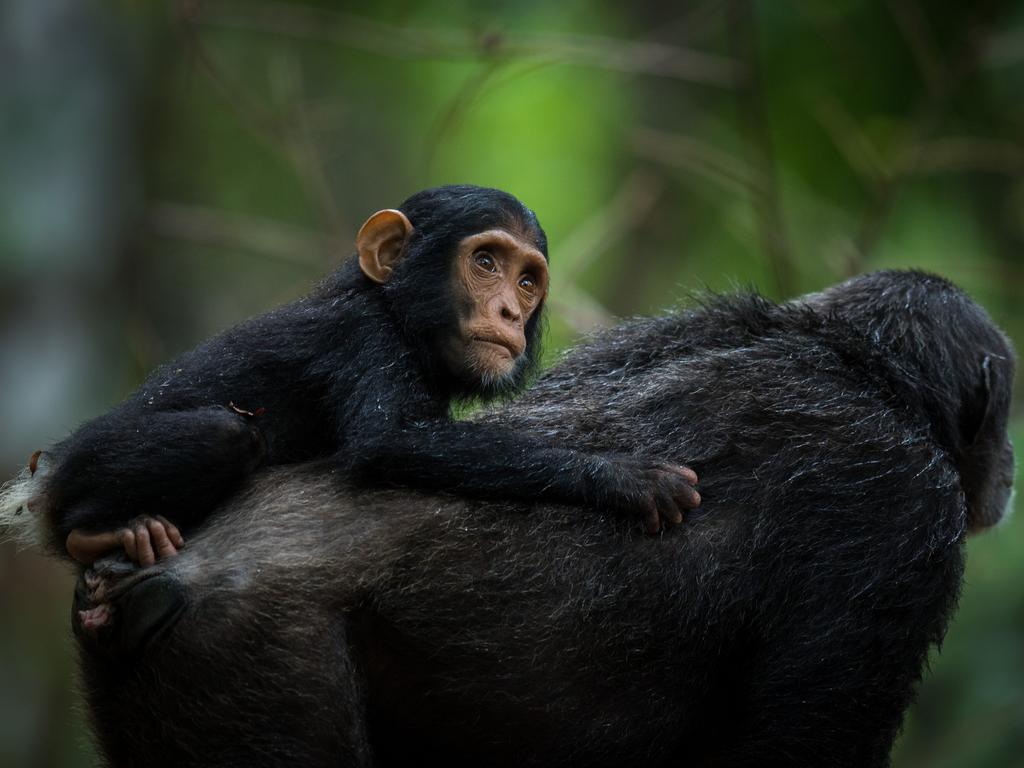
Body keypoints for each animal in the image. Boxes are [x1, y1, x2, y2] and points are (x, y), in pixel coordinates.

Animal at [0, 183, 696, 573]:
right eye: (486, 262)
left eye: (527, 281)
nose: (507, 311)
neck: (401, 315)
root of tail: (41, 475)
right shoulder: (365, 340)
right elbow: (395, 439)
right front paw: (624, 477)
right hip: (85, 465)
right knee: (222, 435)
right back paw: (103, 531)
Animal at [51, 270, 1011, 768]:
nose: (1008, 465)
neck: (856, 368)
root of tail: (142, 576)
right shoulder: (899, 516)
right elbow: (801, 742)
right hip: (247, 667)